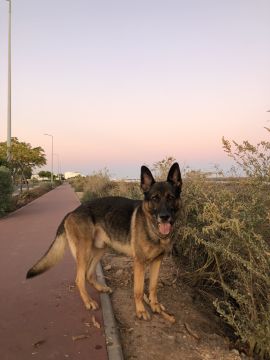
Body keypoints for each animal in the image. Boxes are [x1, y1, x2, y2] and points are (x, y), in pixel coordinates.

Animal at [26, 163, 181, 320]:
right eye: (155, 198)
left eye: (171, 197)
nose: (164, 217)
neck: (153, 228)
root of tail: (72, 212)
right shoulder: (139, 262)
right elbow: (138, 289)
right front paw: (141, 310)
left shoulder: (157, 261)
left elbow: (153, 286)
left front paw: (155, 305)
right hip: (84, 252)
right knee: (79, 279)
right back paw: (88, 301)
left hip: (100, 248)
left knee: (88, 274)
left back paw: (100, 288)